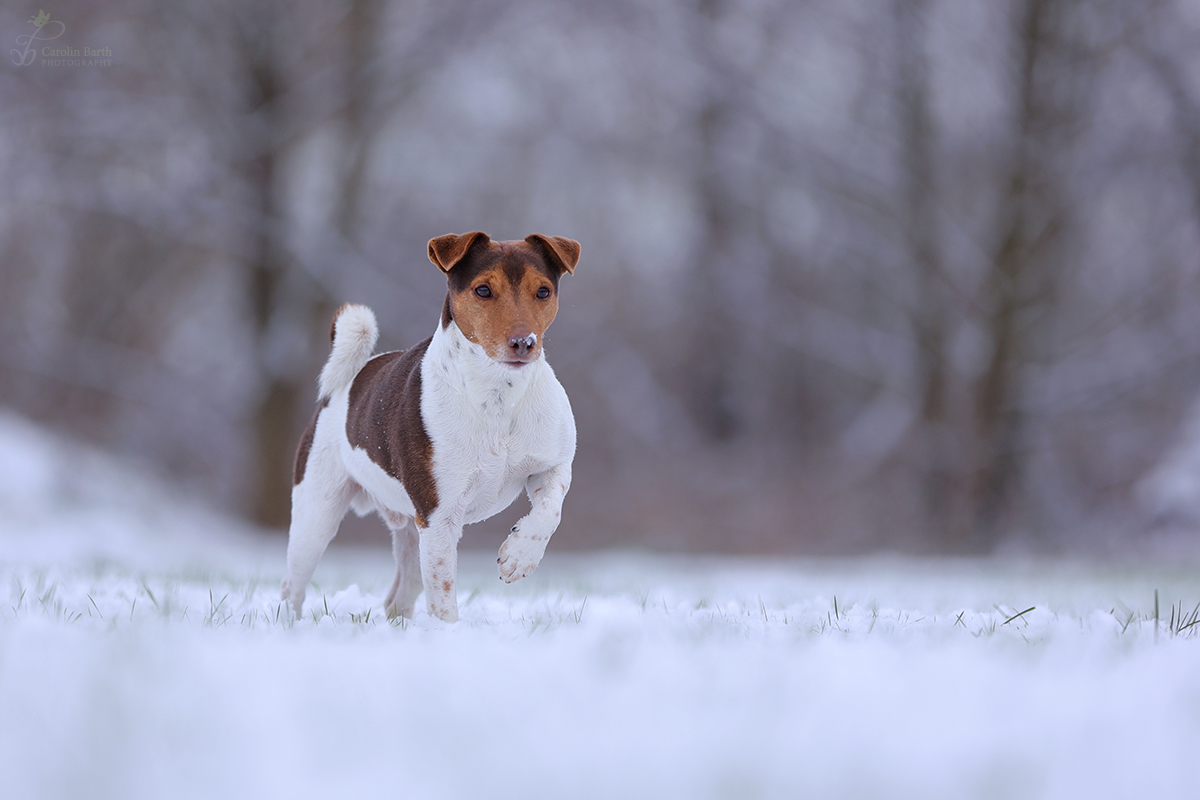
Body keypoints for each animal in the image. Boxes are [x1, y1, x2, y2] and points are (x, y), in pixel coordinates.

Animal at [280, 230, 580, 618]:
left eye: (543, 291)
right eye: (483, 290)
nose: (523, 342)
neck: (498, 396)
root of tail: (348, 379)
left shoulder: (552, 465)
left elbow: (549, 512)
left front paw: (518, 557)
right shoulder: (440, 515)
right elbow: (443, 595)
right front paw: (449, 631)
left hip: (410, 530)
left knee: (399, 596)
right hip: (317, 513)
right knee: (293, 587)